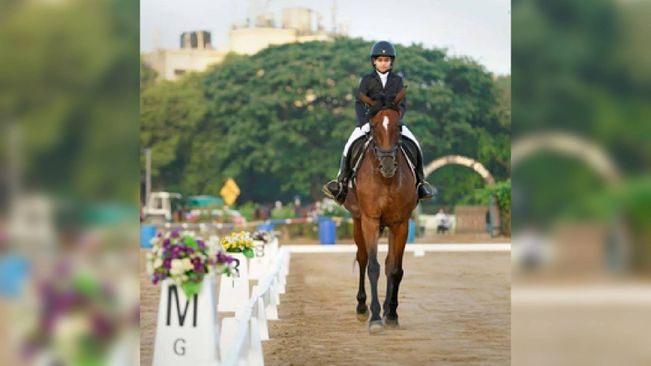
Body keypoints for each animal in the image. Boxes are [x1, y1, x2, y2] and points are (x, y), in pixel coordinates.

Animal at [346, 88, 418, 334]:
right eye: (374, 125)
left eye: (398, 125)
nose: (388, 166)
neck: (385, 180)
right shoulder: (370, 220)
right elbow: (373, 267)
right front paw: (375, 318)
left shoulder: (400, 224)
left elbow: (394, 269)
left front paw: (392, 314)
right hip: (358, 222)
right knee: (362, 258)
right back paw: (361, 308)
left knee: (388, 264)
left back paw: (387, 310)